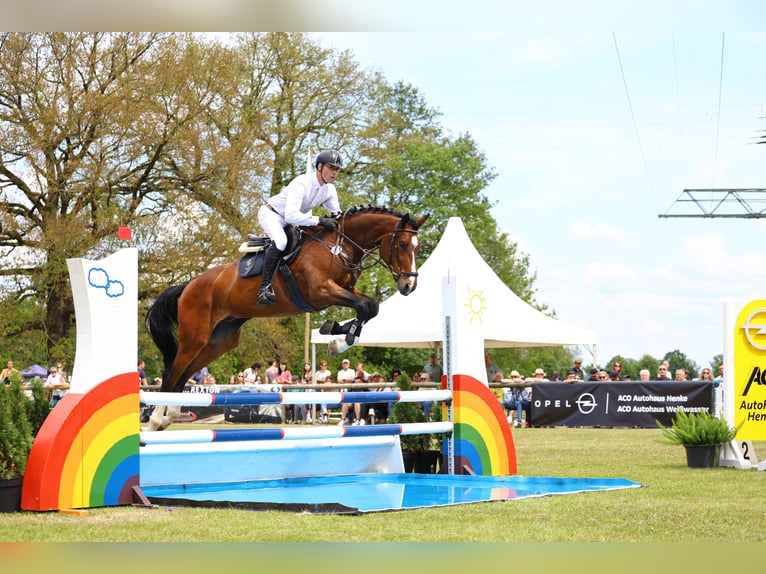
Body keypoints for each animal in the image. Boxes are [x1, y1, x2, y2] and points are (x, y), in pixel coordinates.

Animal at [146, 205, 428, 430]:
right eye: (402, 244)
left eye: (419, 247)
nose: (408, 286)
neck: (340, 247)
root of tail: (188, 286)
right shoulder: (322, 291)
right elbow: (365, 306)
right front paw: (339, 336)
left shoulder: (344, 290)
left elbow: (371, 306)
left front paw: (337, 334)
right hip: (195, 337)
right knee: (171, 372)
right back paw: (157, 419)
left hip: (219, 341)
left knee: (184, 373)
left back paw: (169, 415)